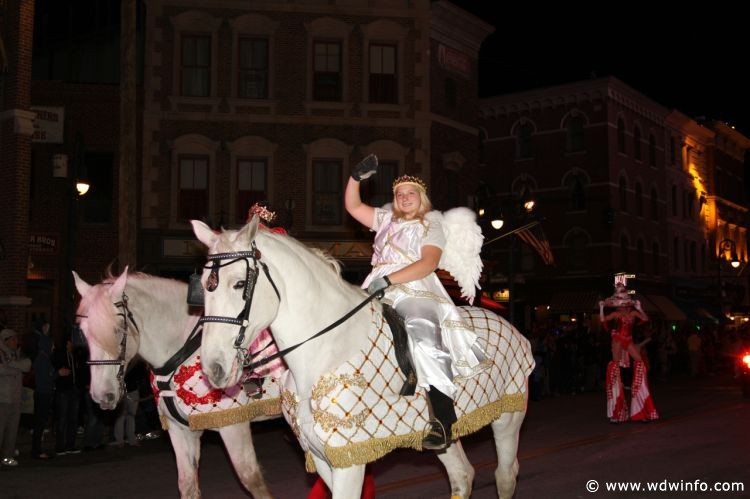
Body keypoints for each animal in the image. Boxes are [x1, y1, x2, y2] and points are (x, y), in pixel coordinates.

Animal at [75, 270, 280, 499]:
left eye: (118, 330)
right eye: (83, 332)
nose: (102, 394)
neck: (183, 347)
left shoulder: (233, 423)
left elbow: (252, 480)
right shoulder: (181, 429)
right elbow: (188, 484)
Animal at [191, 220, 536, 499]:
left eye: (239, 284)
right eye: (204, 290)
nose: (213, 368)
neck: (326, 349)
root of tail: (509, 325)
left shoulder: (349, 459)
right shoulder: (322, 456)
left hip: (508, 417)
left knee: (505, 476)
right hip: (446, 437)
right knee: (462, 475)